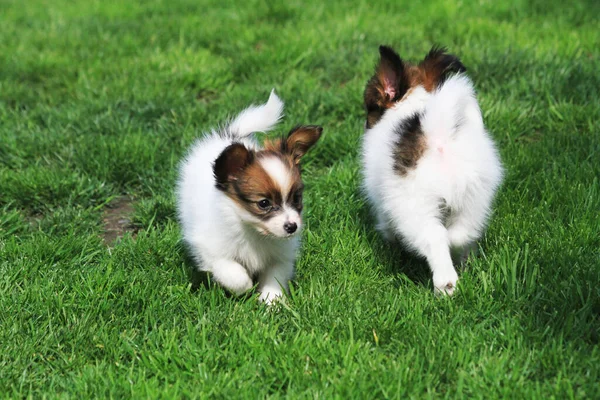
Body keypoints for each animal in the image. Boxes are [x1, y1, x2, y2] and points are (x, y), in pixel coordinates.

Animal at [176, 90, 322, 304]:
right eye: (264, 203)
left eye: (296, 198)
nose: (292, 227)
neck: (255, 232)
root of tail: (231, 135)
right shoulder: (212, 251)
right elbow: (234, 274)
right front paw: (246, 287)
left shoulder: (280, 256)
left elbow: (275, 277)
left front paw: (272, 302)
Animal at [364, 47, 504, 296]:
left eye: (369, 106)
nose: (365, 123)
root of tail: (438, 136)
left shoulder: (383, 202)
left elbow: (386, 226)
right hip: (474, 199)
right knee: (459, 235)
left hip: (413, 206)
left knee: (436, 238)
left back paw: (445, 283)